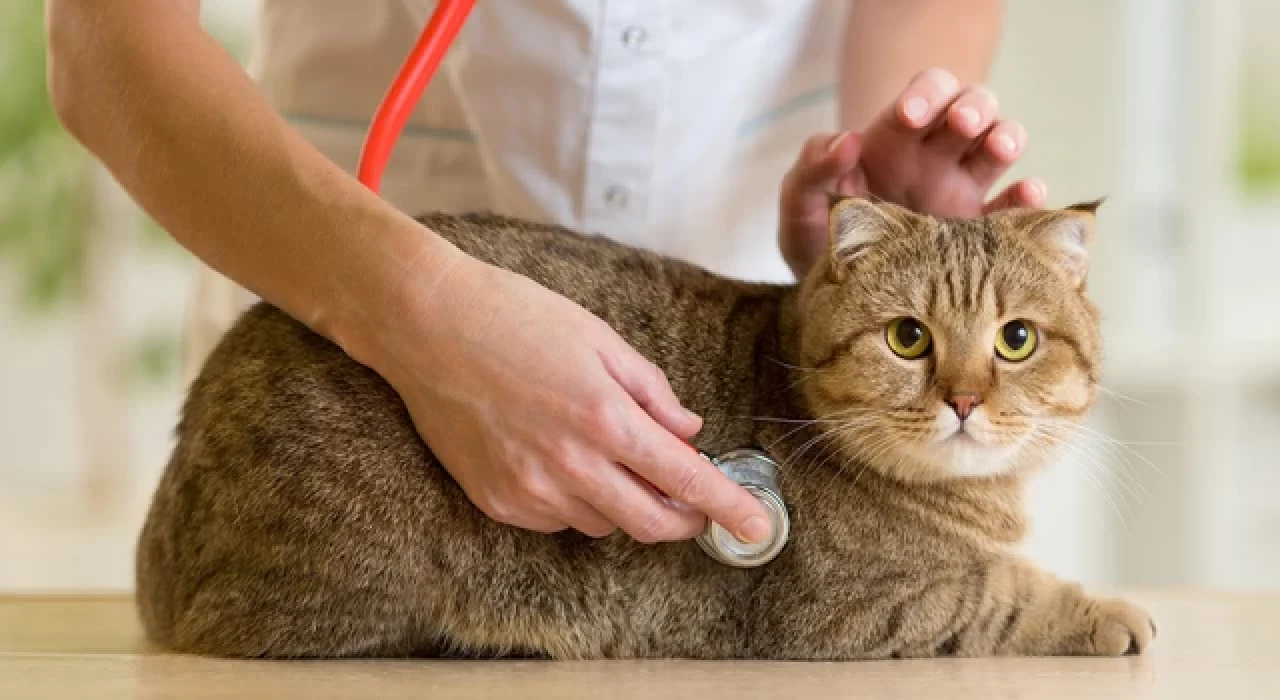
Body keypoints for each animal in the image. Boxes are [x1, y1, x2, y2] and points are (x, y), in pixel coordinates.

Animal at [135, 194, 1157, 660]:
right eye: (910, 337)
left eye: (1016, 340)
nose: (965, 397)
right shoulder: (859, 610)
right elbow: (1009, 596)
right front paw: (1110, 611)